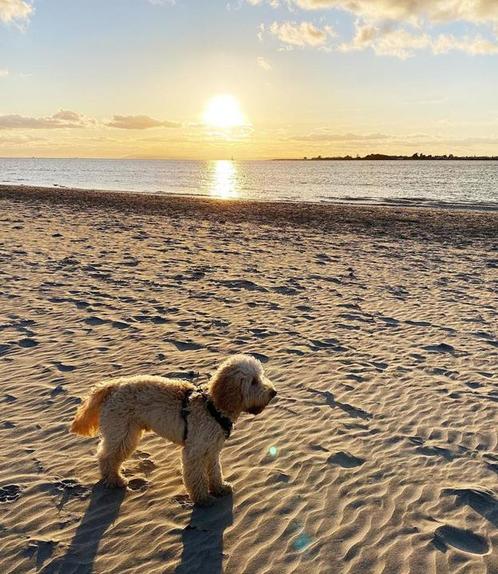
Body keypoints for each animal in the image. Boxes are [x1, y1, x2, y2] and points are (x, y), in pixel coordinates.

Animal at [70, 354, 276, 506]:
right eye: (254, 381)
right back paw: (114, 480)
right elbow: (196, 477)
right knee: (106, 456)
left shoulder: (212, 450)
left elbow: (215, 472)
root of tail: (113, 386)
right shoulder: (194, 452)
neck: (213, 406)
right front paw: (203, 499)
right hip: (123, 433)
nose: (274, 392)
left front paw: (219, 488)